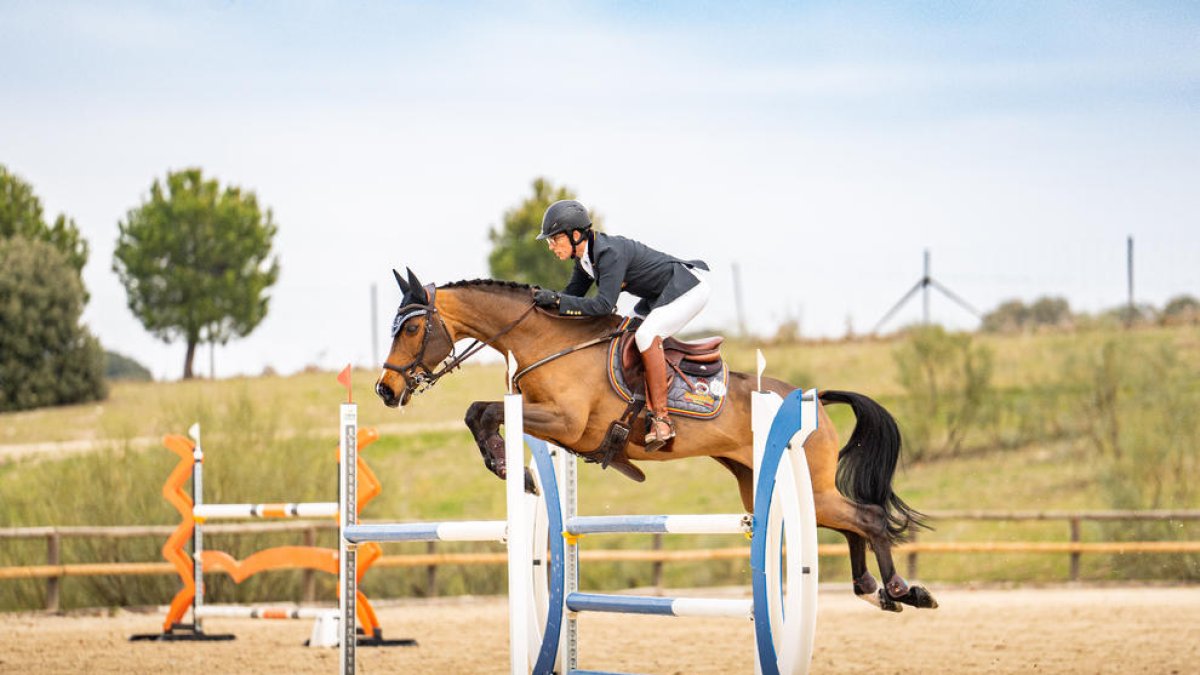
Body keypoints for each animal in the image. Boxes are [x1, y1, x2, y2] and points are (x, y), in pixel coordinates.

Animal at [374, 267, 936, 610]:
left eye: (411, 330)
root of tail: (811, 398)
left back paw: (902, 589)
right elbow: (478, 412)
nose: (385, 390)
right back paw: (873, 589)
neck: (546, 341)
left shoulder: (567, 422)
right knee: (850, 523)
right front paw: (512, 468)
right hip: (769, 486)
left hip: (807, 485)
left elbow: (486, 412)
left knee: (867, 517)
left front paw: (510, 468)